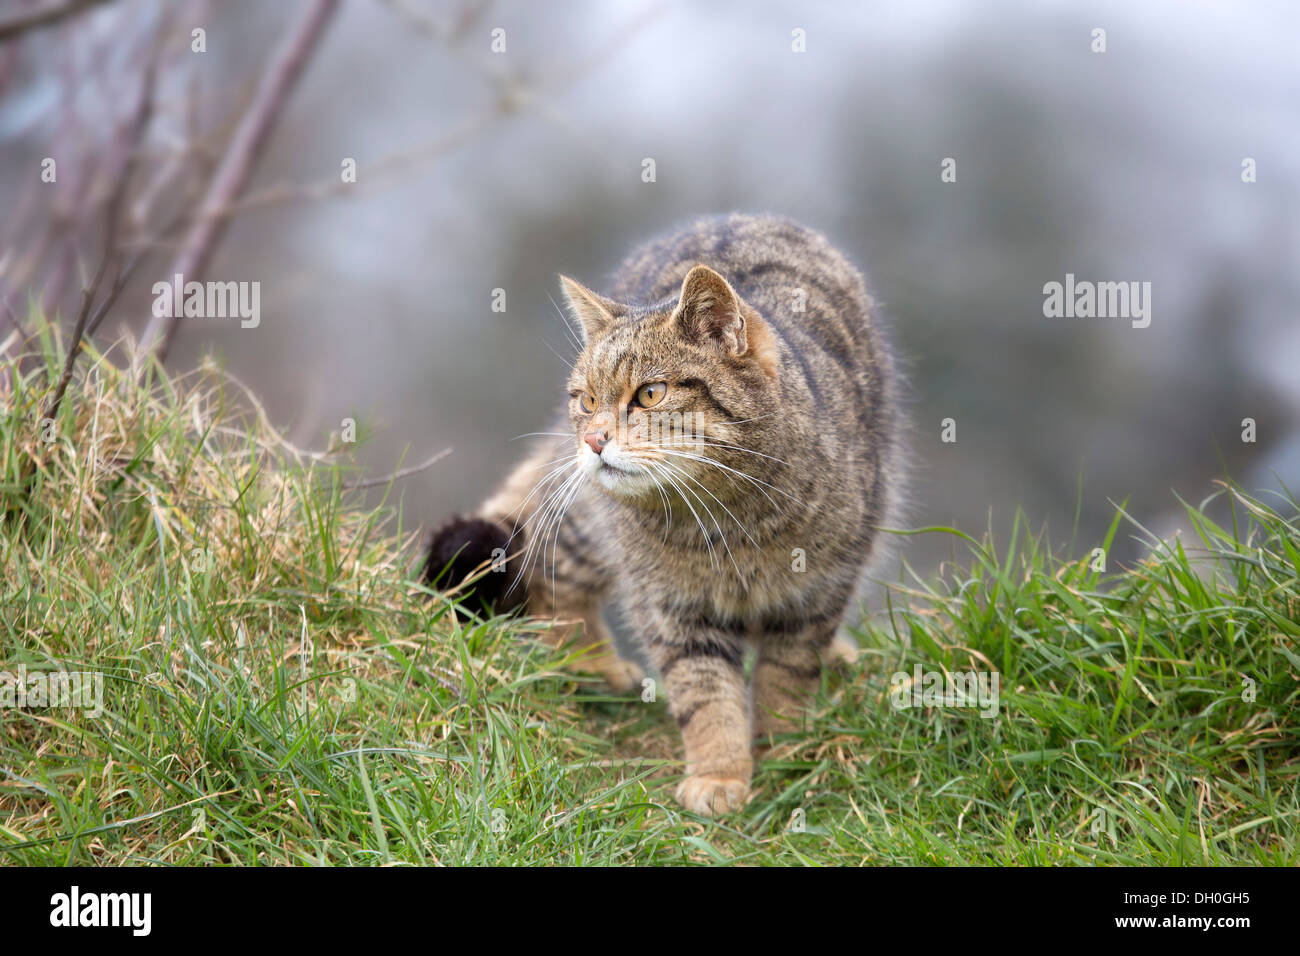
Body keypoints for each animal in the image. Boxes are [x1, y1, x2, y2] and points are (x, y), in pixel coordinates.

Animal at [421, 214, 899, 816]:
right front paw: (721, 773)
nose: (593, 439)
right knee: (550, 571)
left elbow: (785, 678)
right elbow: (706, 694)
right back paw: (590, 665)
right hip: (587, 521)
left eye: (650, 394)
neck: (731, 522)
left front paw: (785, 750)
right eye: (587, 399)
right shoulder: (672, 608)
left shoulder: (817, 594)